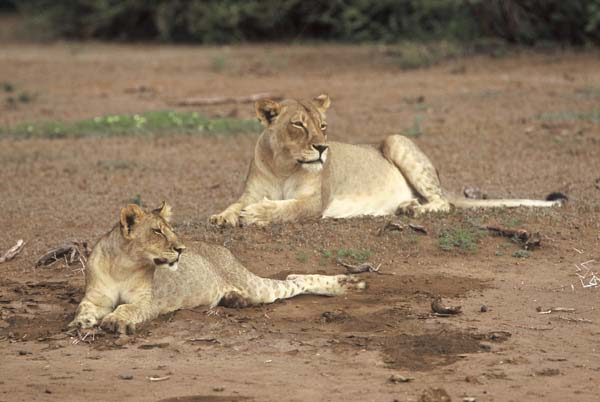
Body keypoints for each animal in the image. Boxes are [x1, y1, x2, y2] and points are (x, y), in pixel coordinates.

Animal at [68, 203, 364, 334]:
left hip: (256, 285)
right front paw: (82, 322)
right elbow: (83, 308)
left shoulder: (148, 302)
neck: (123, 265)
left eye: (171, 229)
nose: (181, 249)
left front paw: (114, 320)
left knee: (292, 280)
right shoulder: (94, 298)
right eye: (157, 231)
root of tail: (224, 250)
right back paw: (235, 300)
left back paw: (345, 284)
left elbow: (128, 308)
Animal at [211, 93, 568, 226]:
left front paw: (256, 215)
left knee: (443, 202)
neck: (284, 165)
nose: (323, 148)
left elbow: (288, 208)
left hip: (395, 140)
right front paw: (223, 216)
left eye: (323, 126)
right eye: (298, 124)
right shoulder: (251, 191)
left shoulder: (314, 203)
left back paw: (412, 209)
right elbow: (235, 203)